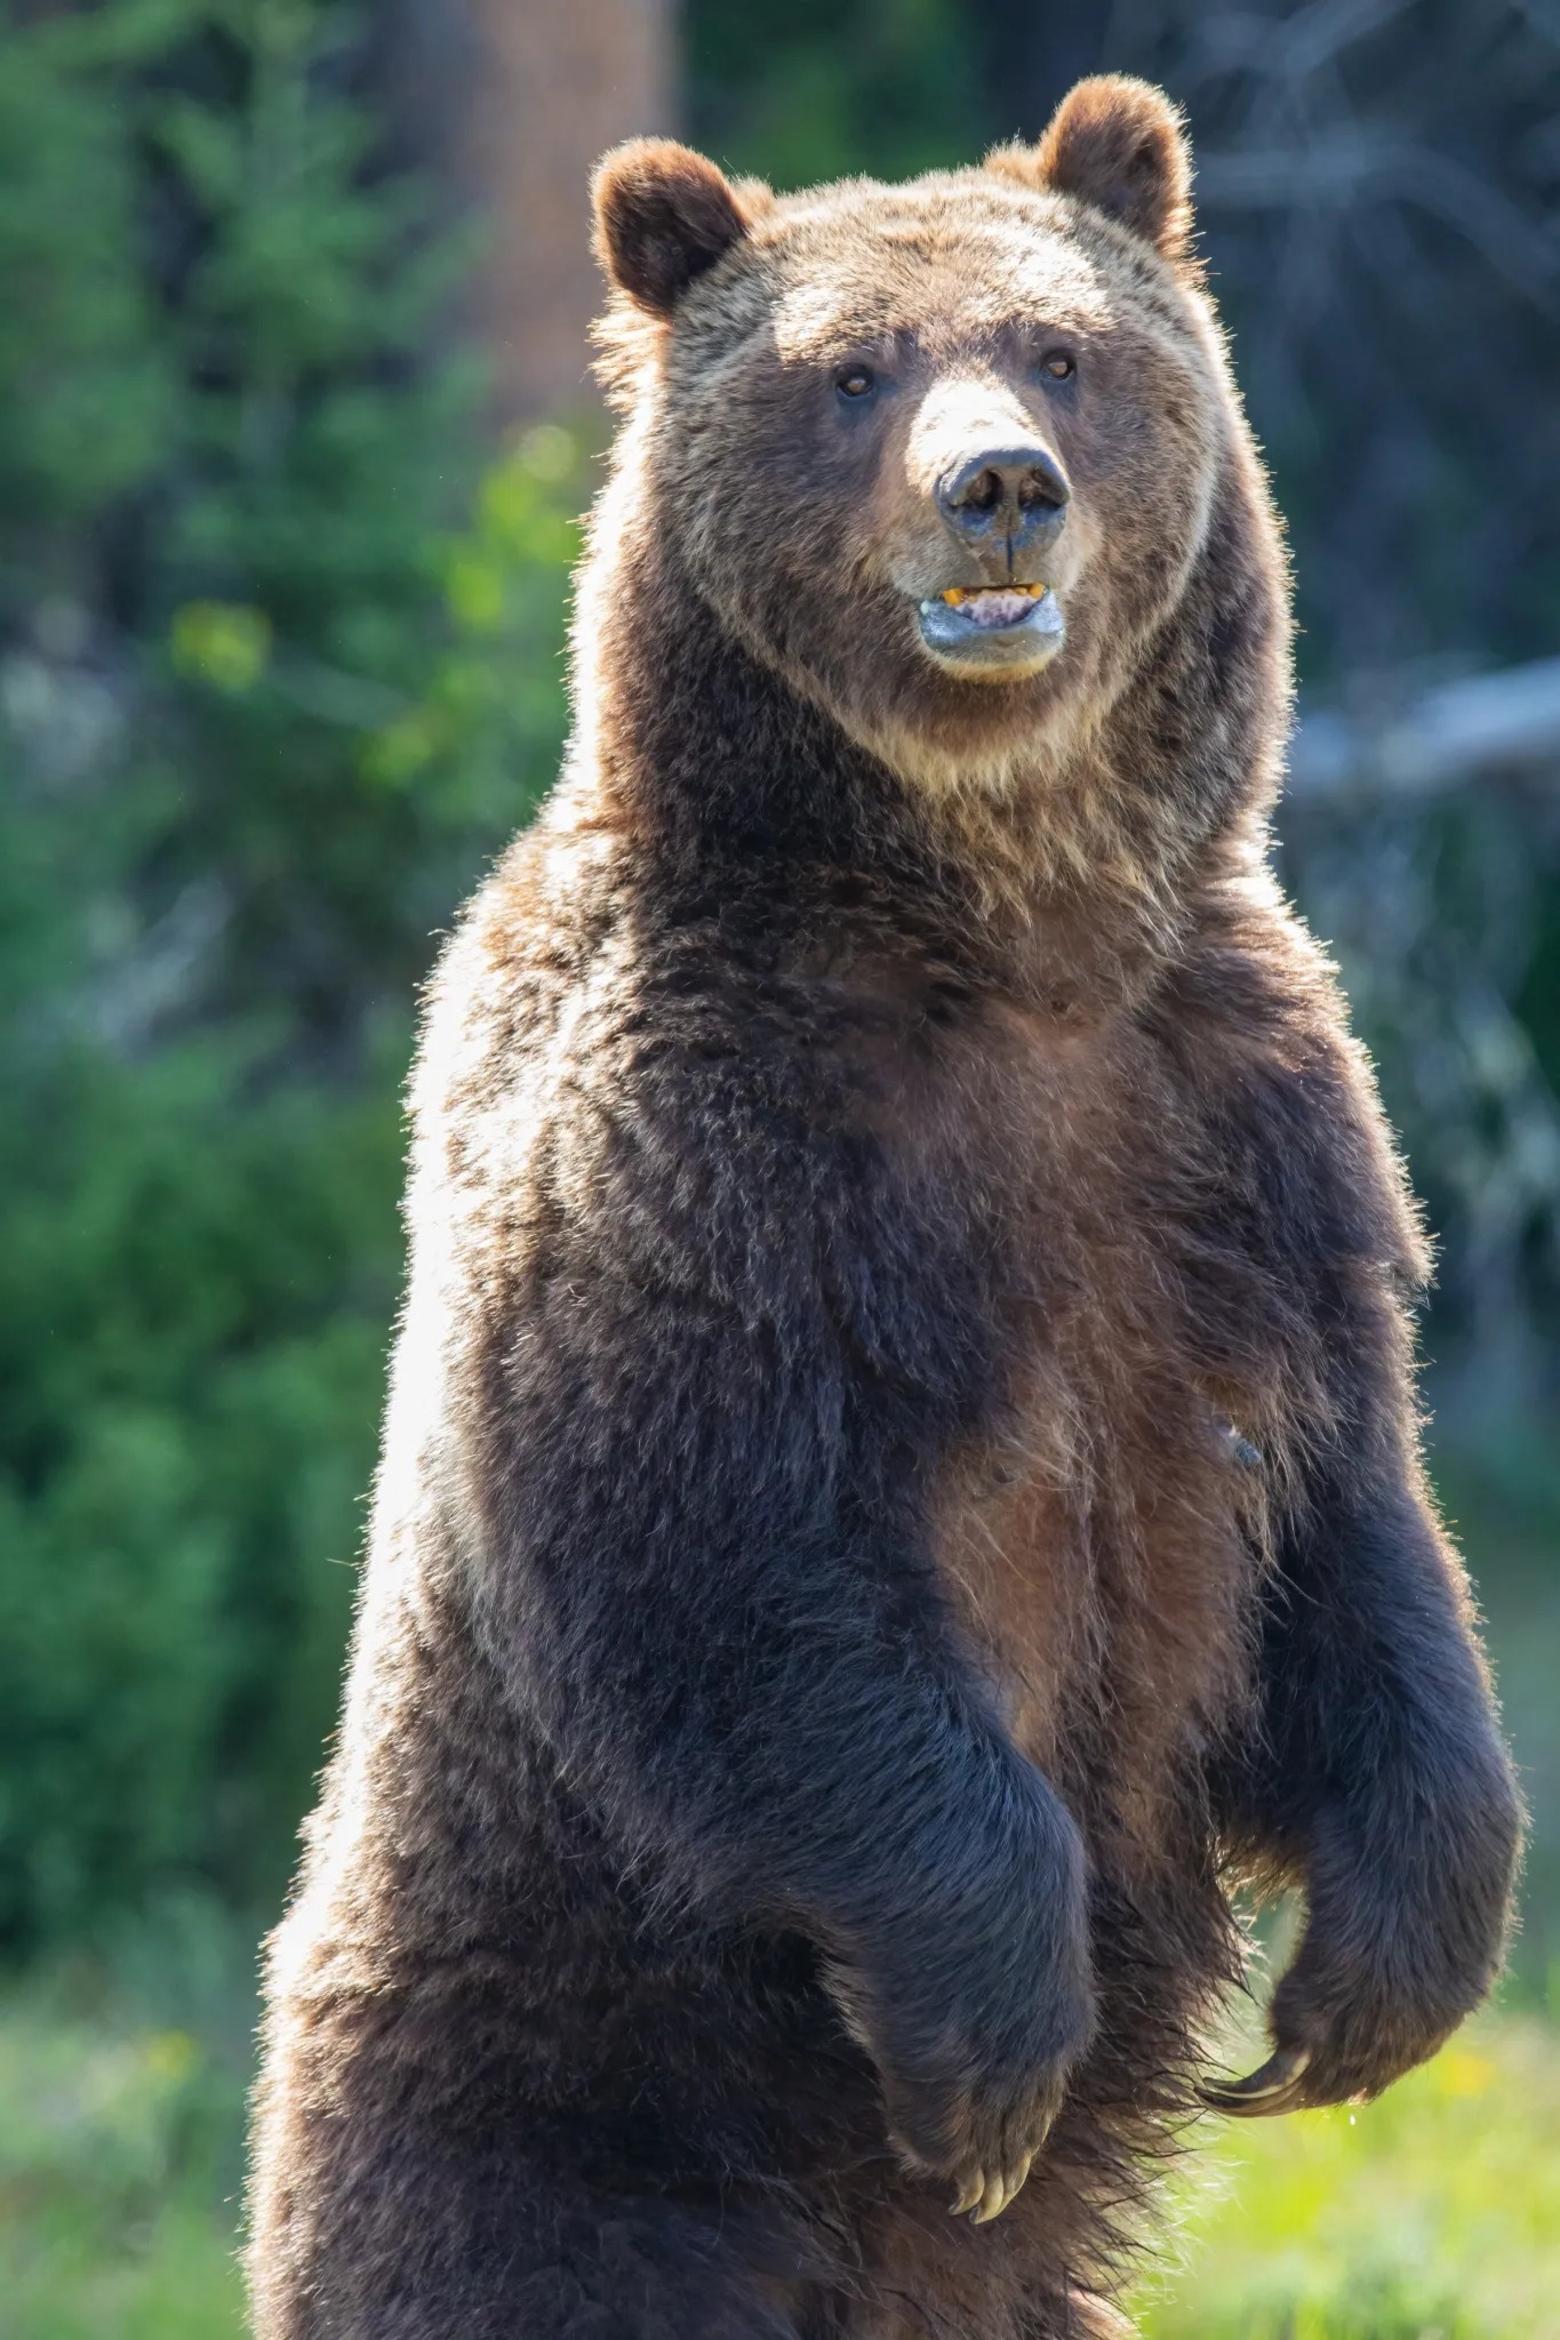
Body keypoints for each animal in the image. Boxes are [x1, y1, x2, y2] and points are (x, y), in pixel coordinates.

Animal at [253, 77, 1524, 2340]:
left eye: (1065, 352)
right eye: (852, 373)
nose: (997, 490)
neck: (1007, 937)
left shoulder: (1251, 1139)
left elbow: (1354, 1525)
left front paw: (1372, 1983)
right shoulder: (699, 1140)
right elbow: (713, 1559)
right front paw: (999, 2043)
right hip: (558, 2103)